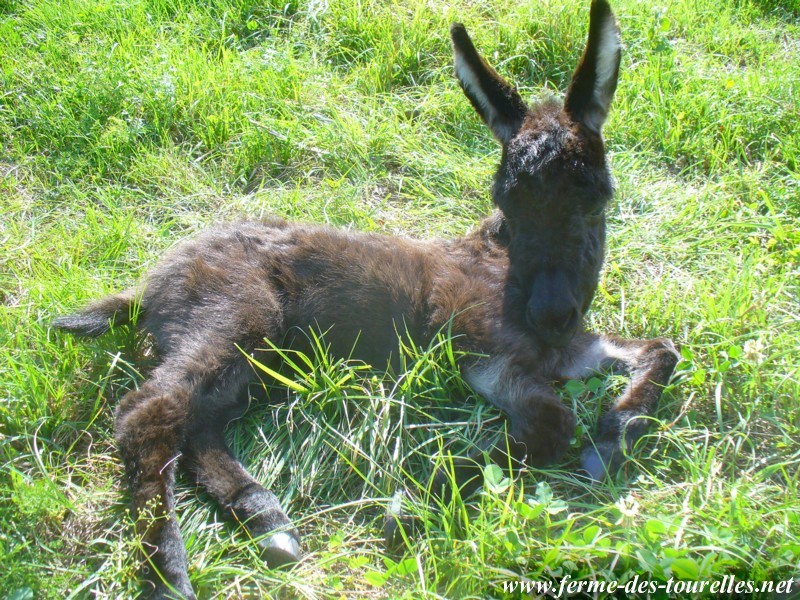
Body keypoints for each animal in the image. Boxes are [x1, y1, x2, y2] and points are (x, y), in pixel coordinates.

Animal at [51, 2, 676, 596]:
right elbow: (553, 419)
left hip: (254, 360)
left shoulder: (566, 350)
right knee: (148, 412)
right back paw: (167, 574)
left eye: (596, 199)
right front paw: (417, 501)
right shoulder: (480, 354)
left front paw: (612, 439)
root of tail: (147, 284)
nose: (549, 314)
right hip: (236, 316)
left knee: (198, 425)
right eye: (508, 203)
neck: (510, 277)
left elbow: (660, 350)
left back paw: (267, 522)